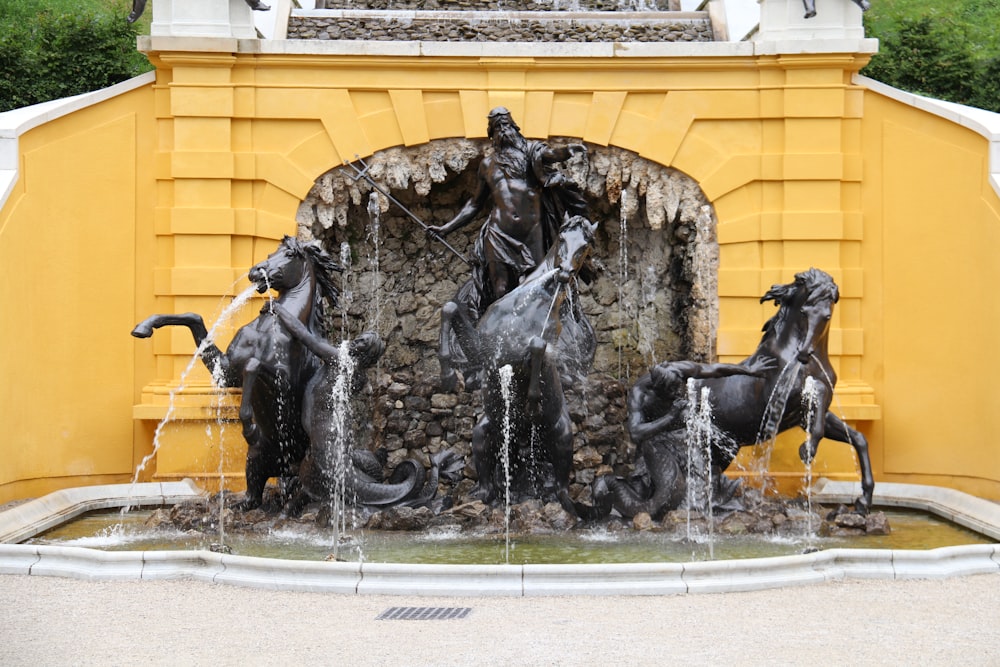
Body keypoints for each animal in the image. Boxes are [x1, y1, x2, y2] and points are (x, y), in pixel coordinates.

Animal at [133, 237, 340, 508]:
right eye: (270, 252)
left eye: (290, 254)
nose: (255, 271)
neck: (269, 325)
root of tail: (283, 469)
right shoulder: (227, 371)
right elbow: (193, 316)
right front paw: (144, 327)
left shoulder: (283, 382)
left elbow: (252, 366)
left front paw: (250, 430)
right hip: (254, 463)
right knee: (253, 498)